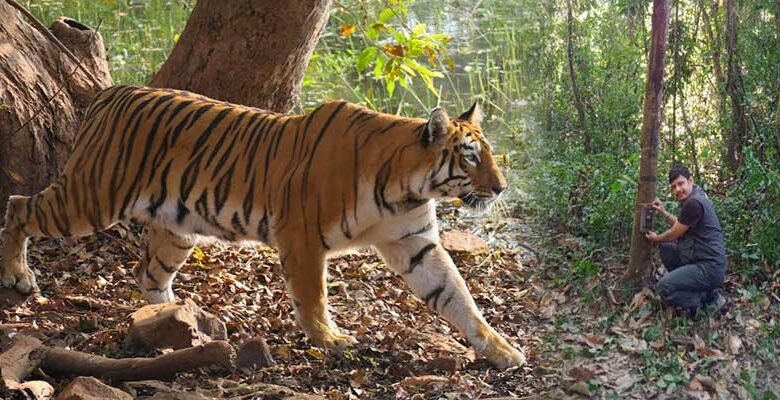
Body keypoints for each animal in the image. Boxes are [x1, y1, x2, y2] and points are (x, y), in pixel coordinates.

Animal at [1, 85, 525, 369]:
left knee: (148, 274)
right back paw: (18, 277)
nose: (501, 188)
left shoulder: (415, 242)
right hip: (89, 199)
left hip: (177, 227)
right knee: (19, 206)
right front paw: (330, 340)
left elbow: (458, 297)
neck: (409, 187)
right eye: (470, 157)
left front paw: (502, 351)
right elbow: (313, 296)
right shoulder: (302, 236)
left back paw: (179, 322)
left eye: (489, 154)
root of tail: (112, 93)